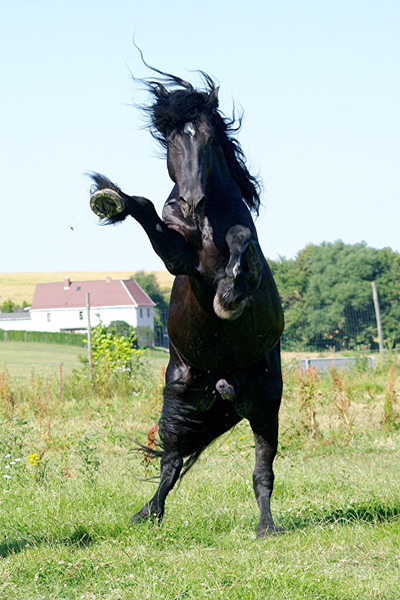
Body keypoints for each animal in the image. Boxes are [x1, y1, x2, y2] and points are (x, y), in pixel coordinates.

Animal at [90, 68, 284, 536]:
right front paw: (109, 199)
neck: (203, 227)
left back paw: (266, 525)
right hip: (179, 400)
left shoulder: (236, 239)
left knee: (262, 470)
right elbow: (145, 209)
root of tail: (223, 383)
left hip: (265, 405)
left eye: (210, 139)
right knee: (172, 463)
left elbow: (241, 240)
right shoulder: (178, 259)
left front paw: (231, 293)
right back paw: (148, 513)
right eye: (172, 139)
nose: (193, 201)